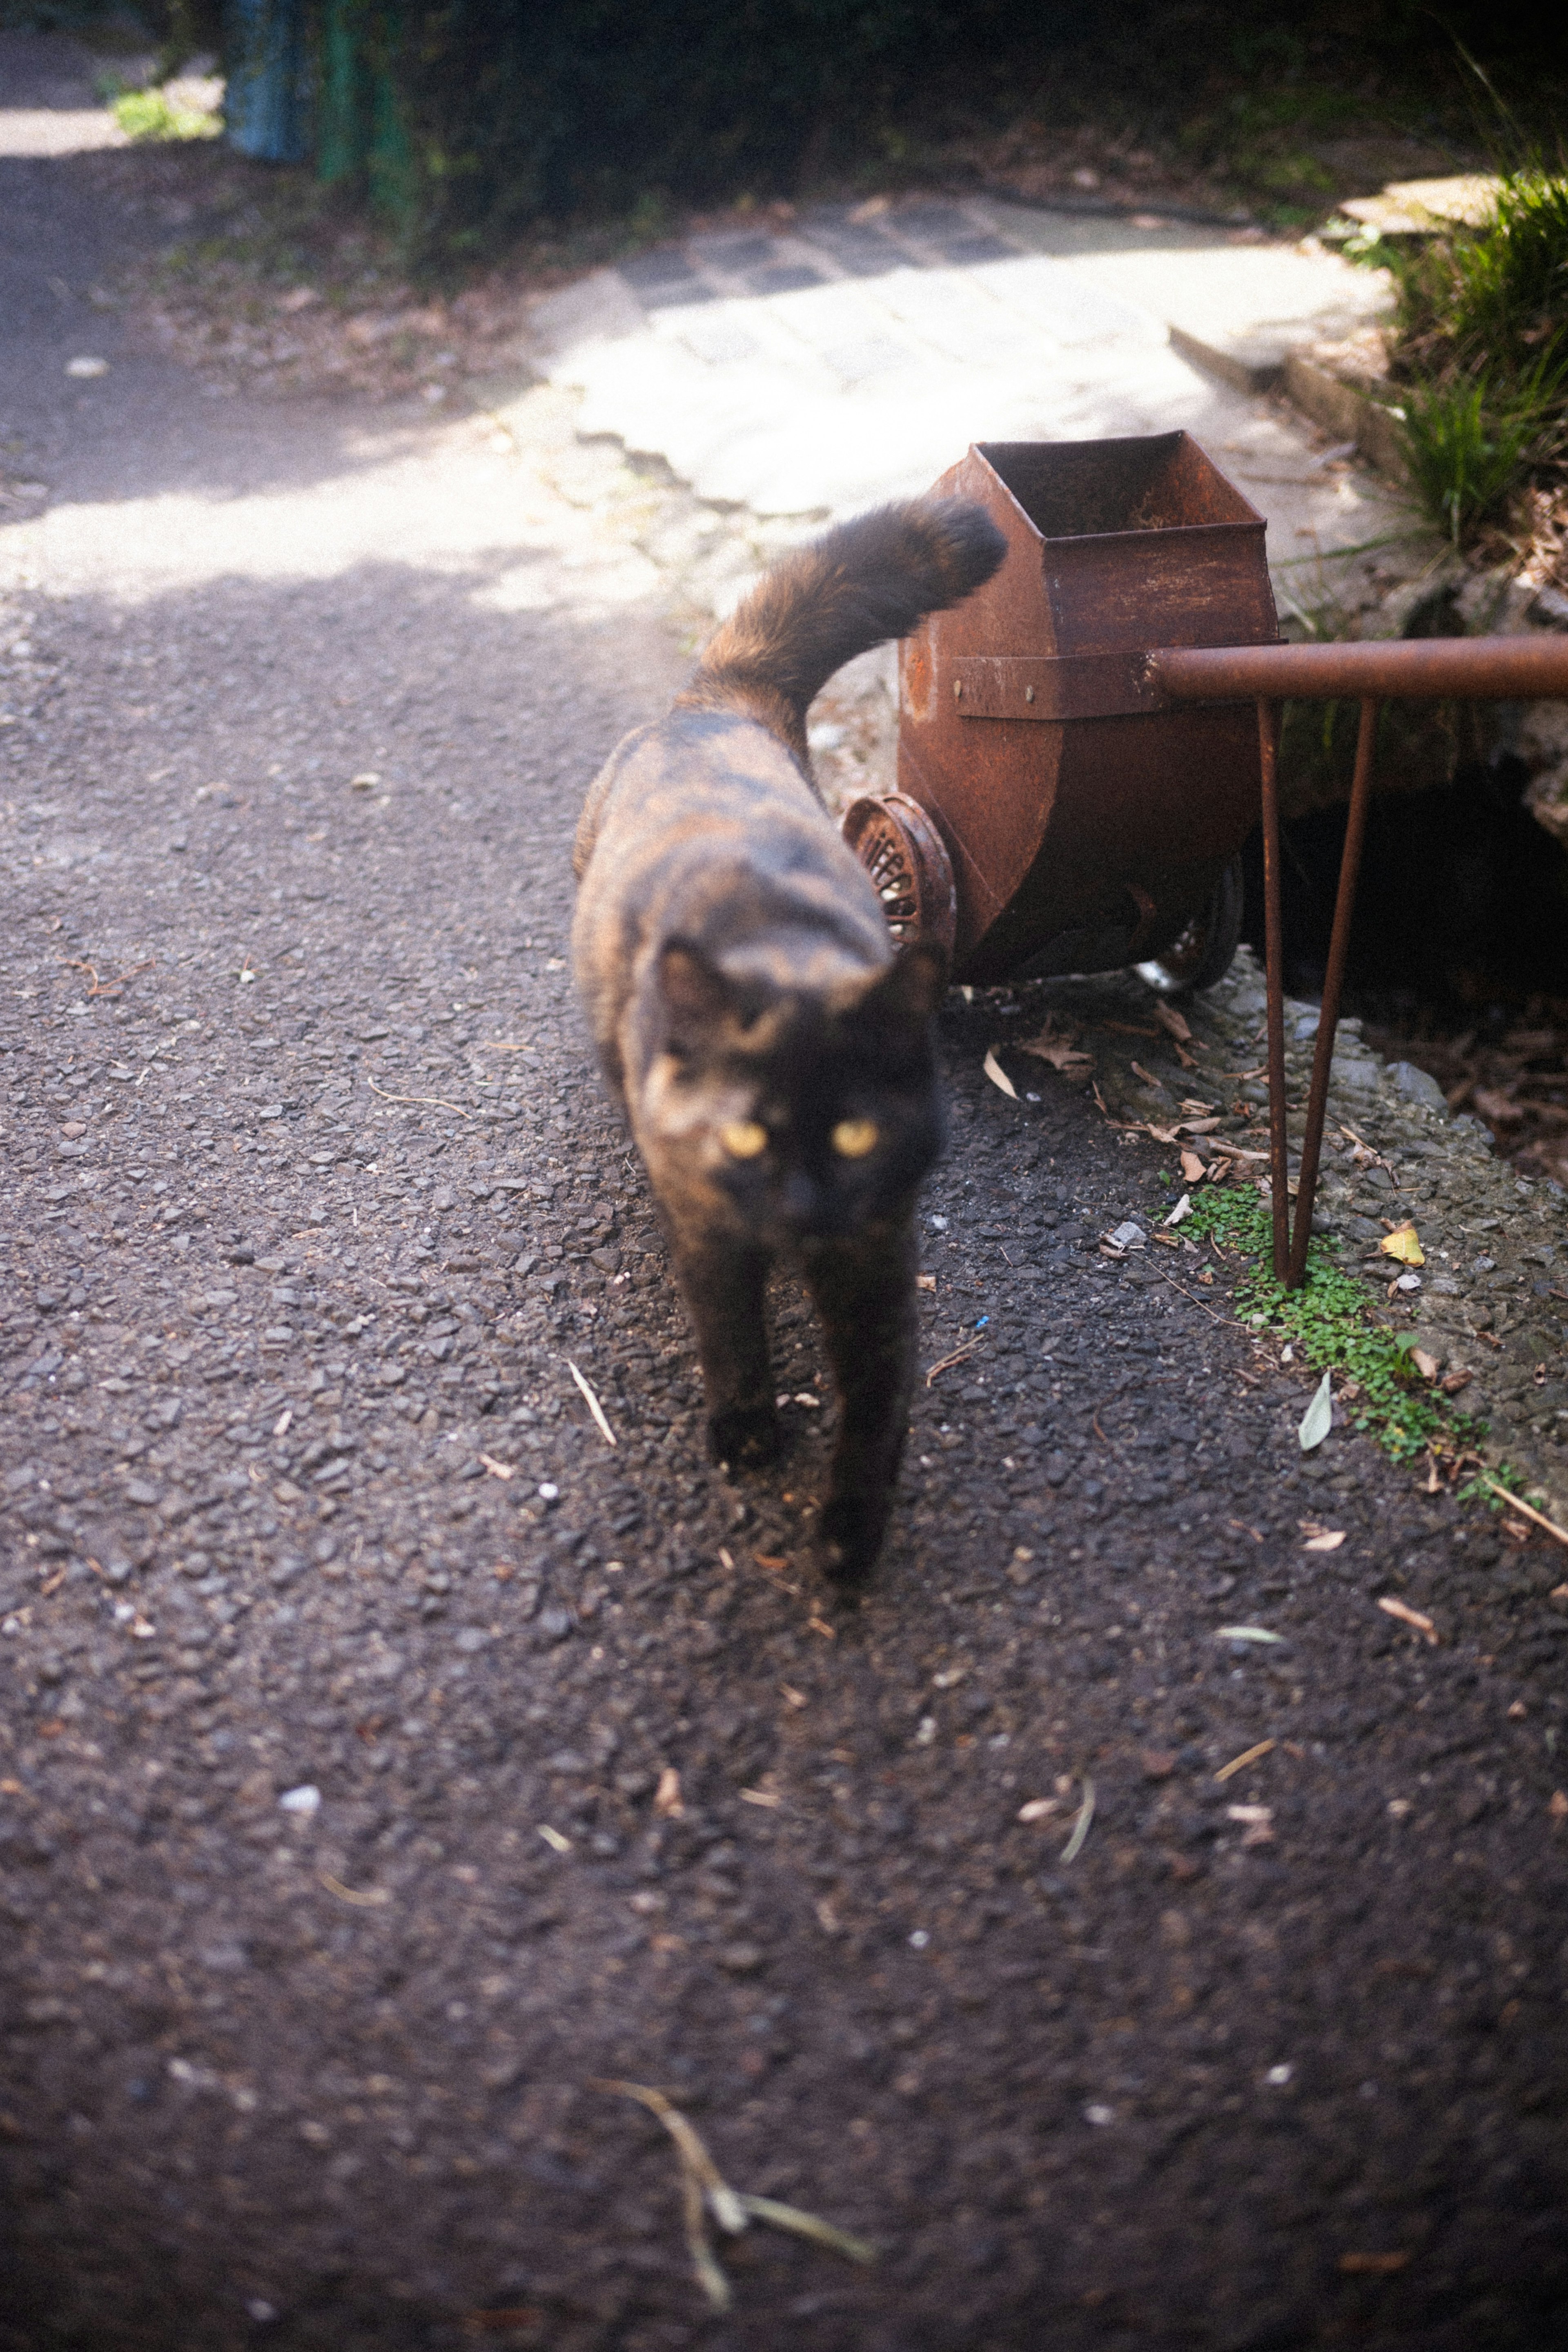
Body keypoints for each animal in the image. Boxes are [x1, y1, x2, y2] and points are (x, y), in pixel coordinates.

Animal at [573, 496, 1006, 1580]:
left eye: (854, 1135)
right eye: (744, 1135)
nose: (805, 1207)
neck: (776, 941)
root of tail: (716, 699)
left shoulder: (876, 1252)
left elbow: (878, 1403)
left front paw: (851, 1532)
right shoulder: (707, 1231)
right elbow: (730, 1336)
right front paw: (746, 1431)